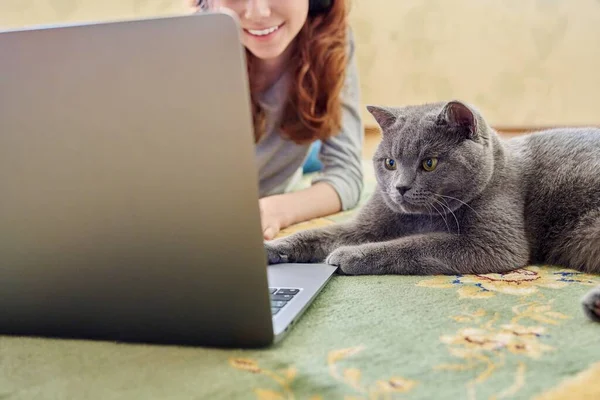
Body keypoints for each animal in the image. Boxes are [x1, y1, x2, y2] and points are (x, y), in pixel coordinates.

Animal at [264, 99, 600, 322]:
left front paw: (349, 255)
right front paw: (270, 248)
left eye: (429, 163)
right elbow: (318, 233)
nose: (400, 187)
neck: (421, 218)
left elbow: (414, 244)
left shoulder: (493, 243)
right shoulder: (364, 226)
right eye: (390, 163)